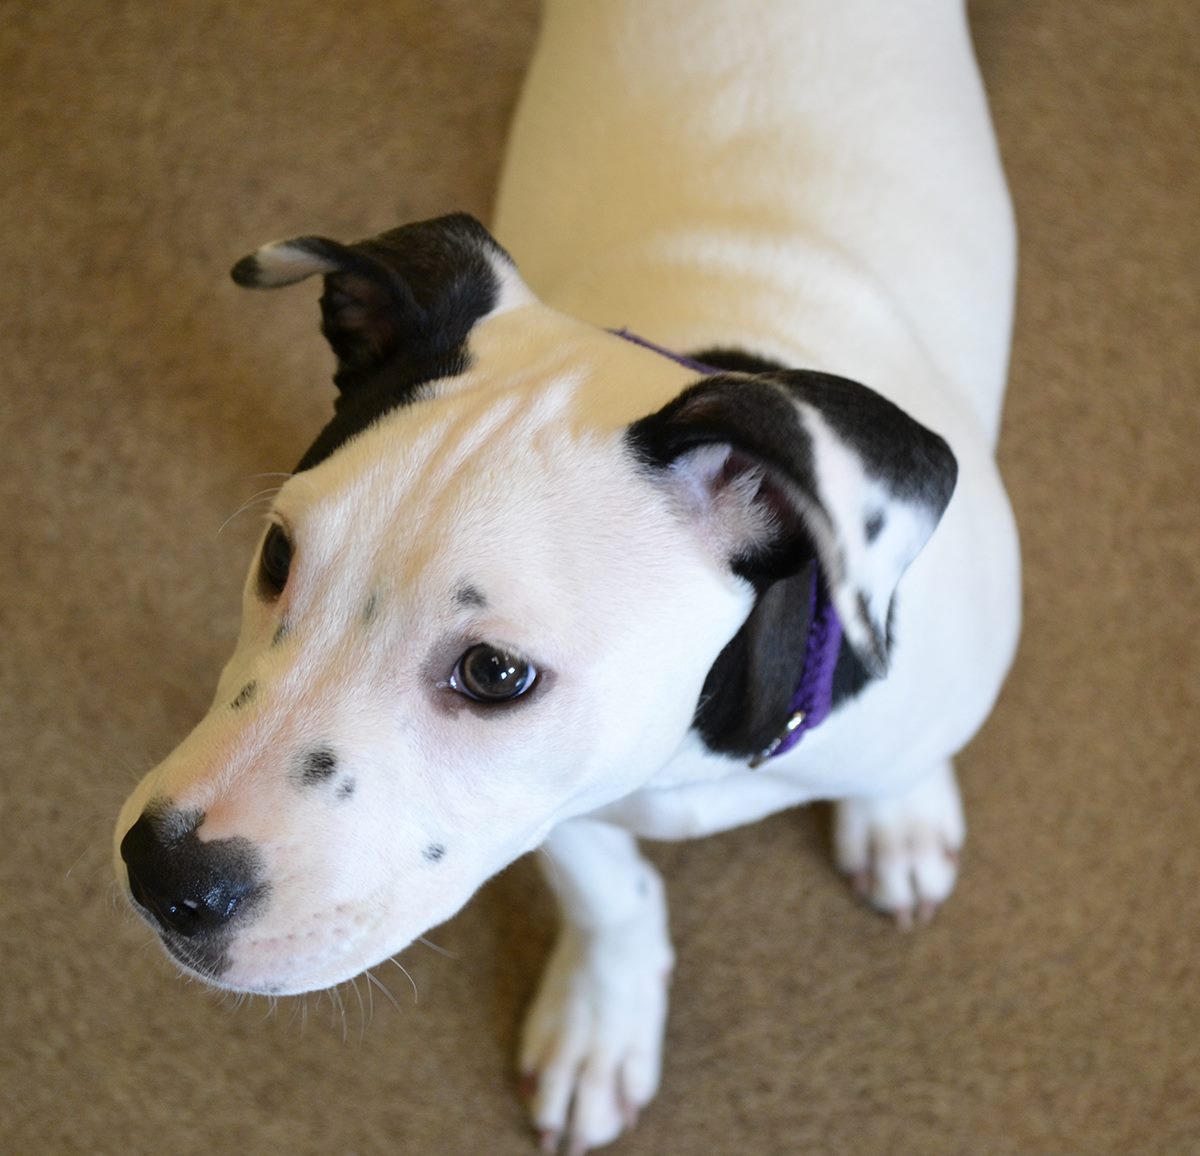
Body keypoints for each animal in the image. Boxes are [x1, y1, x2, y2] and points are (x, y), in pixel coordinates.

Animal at [112, 4, 1017, 1152]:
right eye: (279, 555)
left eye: (495, 673)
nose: (160, 876)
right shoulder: (556, 800)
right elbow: (608, 890)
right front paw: (604, 1020)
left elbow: (908, 756)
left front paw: (896, 814)